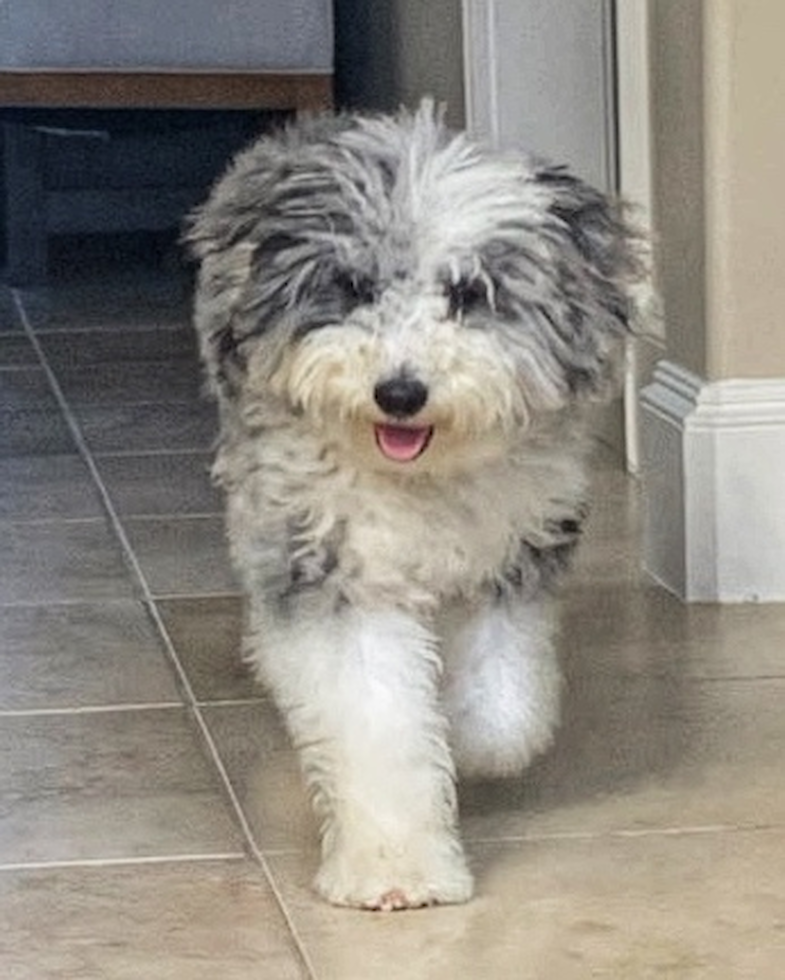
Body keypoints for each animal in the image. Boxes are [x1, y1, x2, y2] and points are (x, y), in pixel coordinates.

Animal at [187, 99, 640, 912]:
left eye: (470, 294)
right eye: (352, 286)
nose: (399, 392)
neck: (422, 477)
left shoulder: (514, 558)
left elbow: (503, 711)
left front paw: (460, 740)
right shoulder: (335, 573)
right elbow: (375, 721)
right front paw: (394, 869)